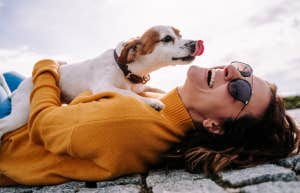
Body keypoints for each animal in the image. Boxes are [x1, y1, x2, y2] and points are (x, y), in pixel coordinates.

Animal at [0, 25, 204, 140]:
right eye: (167, 39)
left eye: (180, 34)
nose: (196, 43)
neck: (125, 68)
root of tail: (18, 88)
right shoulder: (104, 86)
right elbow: (129, 94)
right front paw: (153, 102)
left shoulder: (142, 85)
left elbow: (152, 89)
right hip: (23, 112)